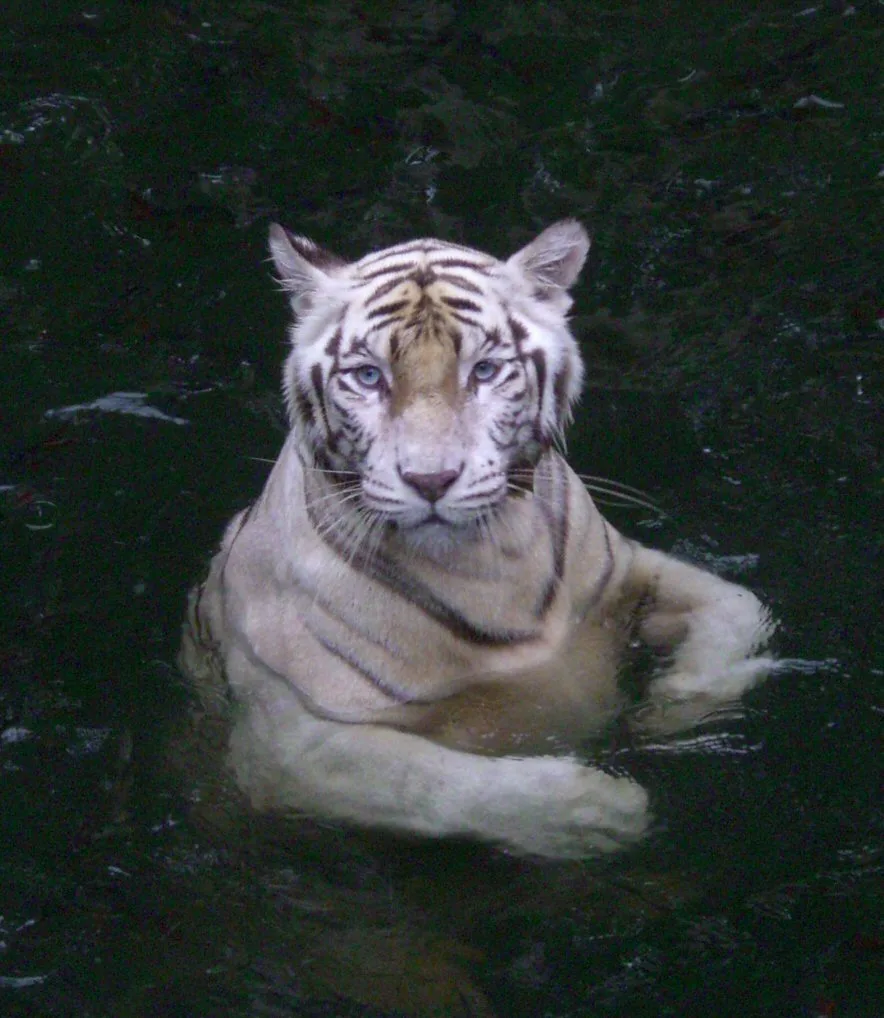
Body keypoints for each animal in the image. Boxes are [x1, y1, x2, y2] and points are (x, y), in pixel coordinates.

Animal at [179, 219, 776, 859]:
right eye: (369, 376)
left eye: (484, 371)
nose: (431, 480)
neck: (494, 558)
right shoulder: (291, 742)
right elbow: (441, 784)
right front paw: (605, 809)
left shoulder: (622, 575)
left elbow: (739, 604)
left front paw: (671, 708)